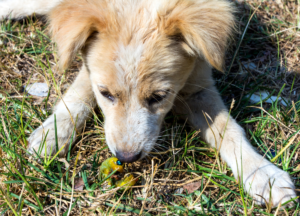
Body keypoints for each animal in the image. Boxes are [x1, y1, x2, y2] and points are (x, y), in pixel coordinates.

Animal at [0, 0, 296, 207]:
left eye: (158, 97)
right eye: (106, 94)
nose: (126, 157)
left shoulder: (199, 86)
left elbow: (230, 131)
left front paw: (262, 174)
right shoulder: (89, 71)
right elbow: (76, 97)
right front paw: (52, 135)